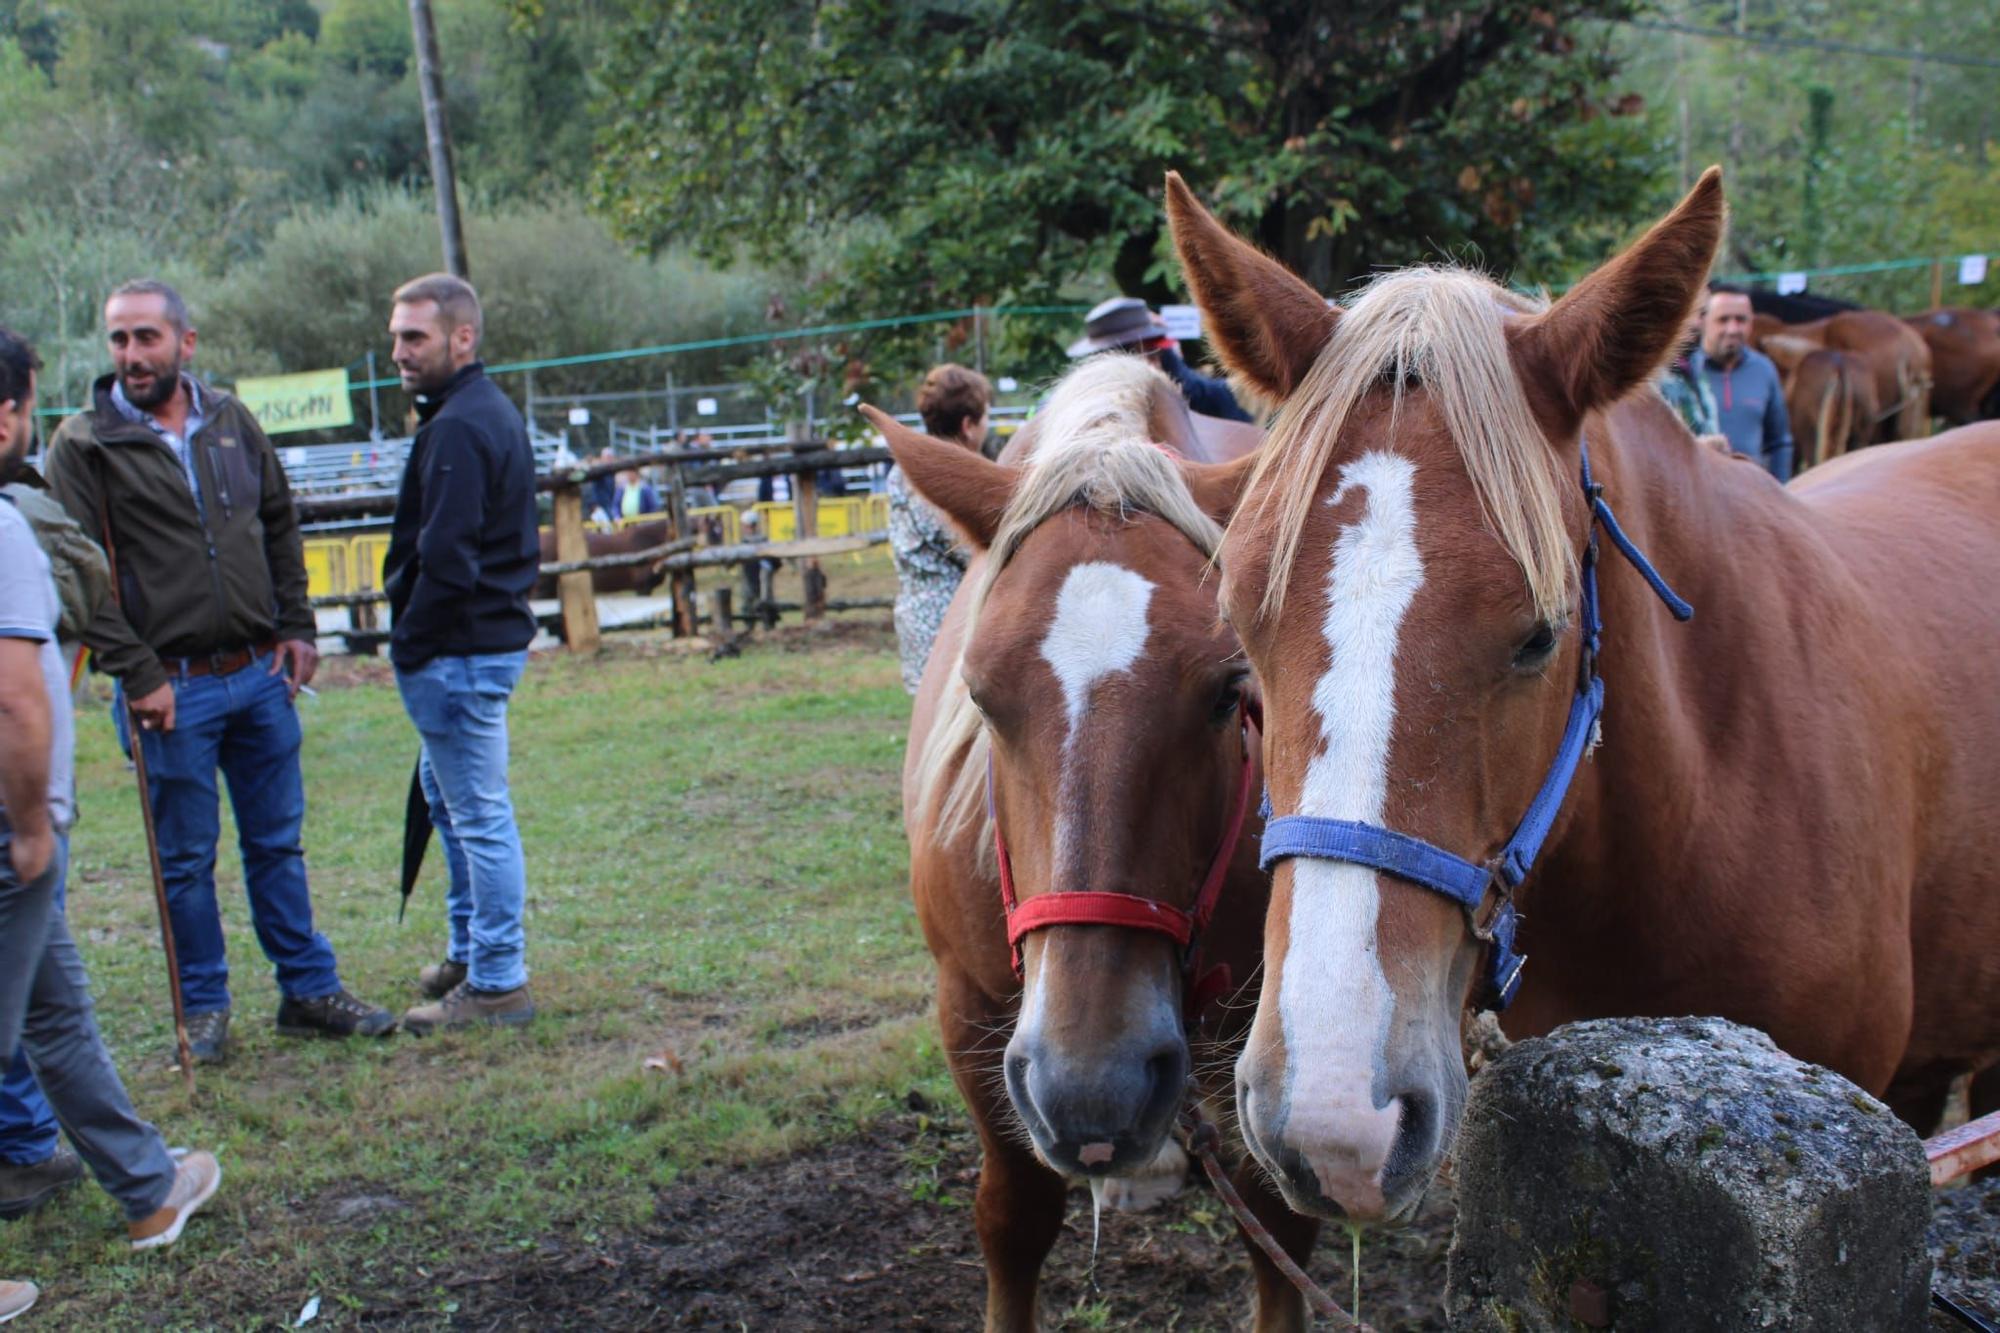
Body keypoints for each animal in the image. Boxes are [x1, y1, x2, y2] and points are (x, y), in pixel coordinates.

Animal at [868, 356, 1320, 1328]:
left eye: (1230, 690)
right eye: (979, 692)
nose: (1091, 1084)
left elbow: (1279, 1227)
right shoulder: (969, 1012)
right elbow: (1014, 1215)